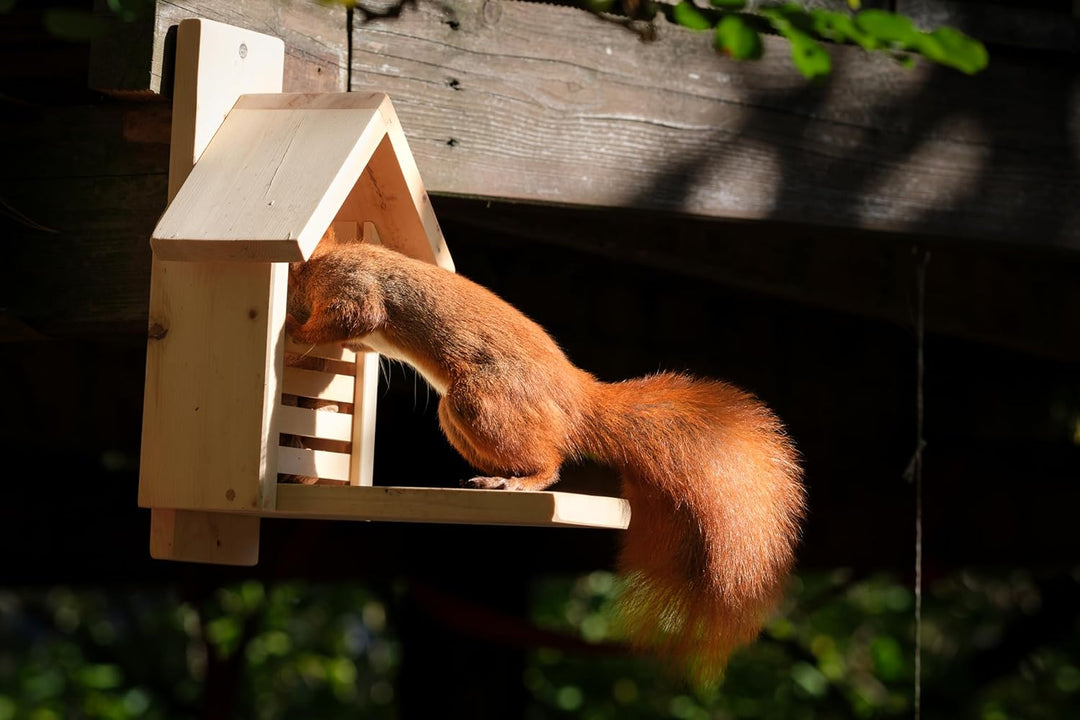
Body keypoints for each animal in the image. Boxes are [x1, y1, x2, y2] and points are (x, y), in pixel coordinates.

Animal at [286, 237, 805, 682]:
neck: (321, 261)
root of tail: (578, 400)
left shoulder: (352, 284)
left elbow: (355, 317)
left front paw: (292, 332)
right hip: (456, 416)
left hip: (479, 402)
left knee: (549, 463)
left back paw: (514, 483)